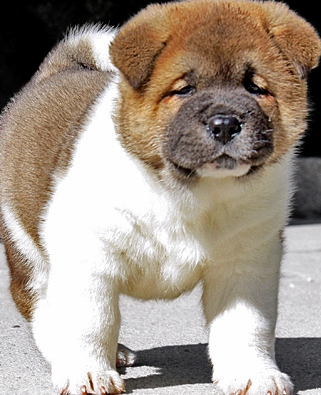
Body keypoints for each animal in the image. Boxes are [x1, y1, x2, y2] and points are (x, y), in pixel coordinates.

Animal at [0, 0, 320, 395]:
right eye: (184, 90)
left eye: (254, 87)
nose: (225, 124)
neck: (191, 192)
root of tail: (51, 75)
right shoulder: (88, 256)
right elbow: (90, 321)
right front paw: (86, 373)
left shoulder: (245, 262)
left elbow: (246, 324)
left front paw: (254, 374)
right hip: (27, 249)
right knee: (39, 303)